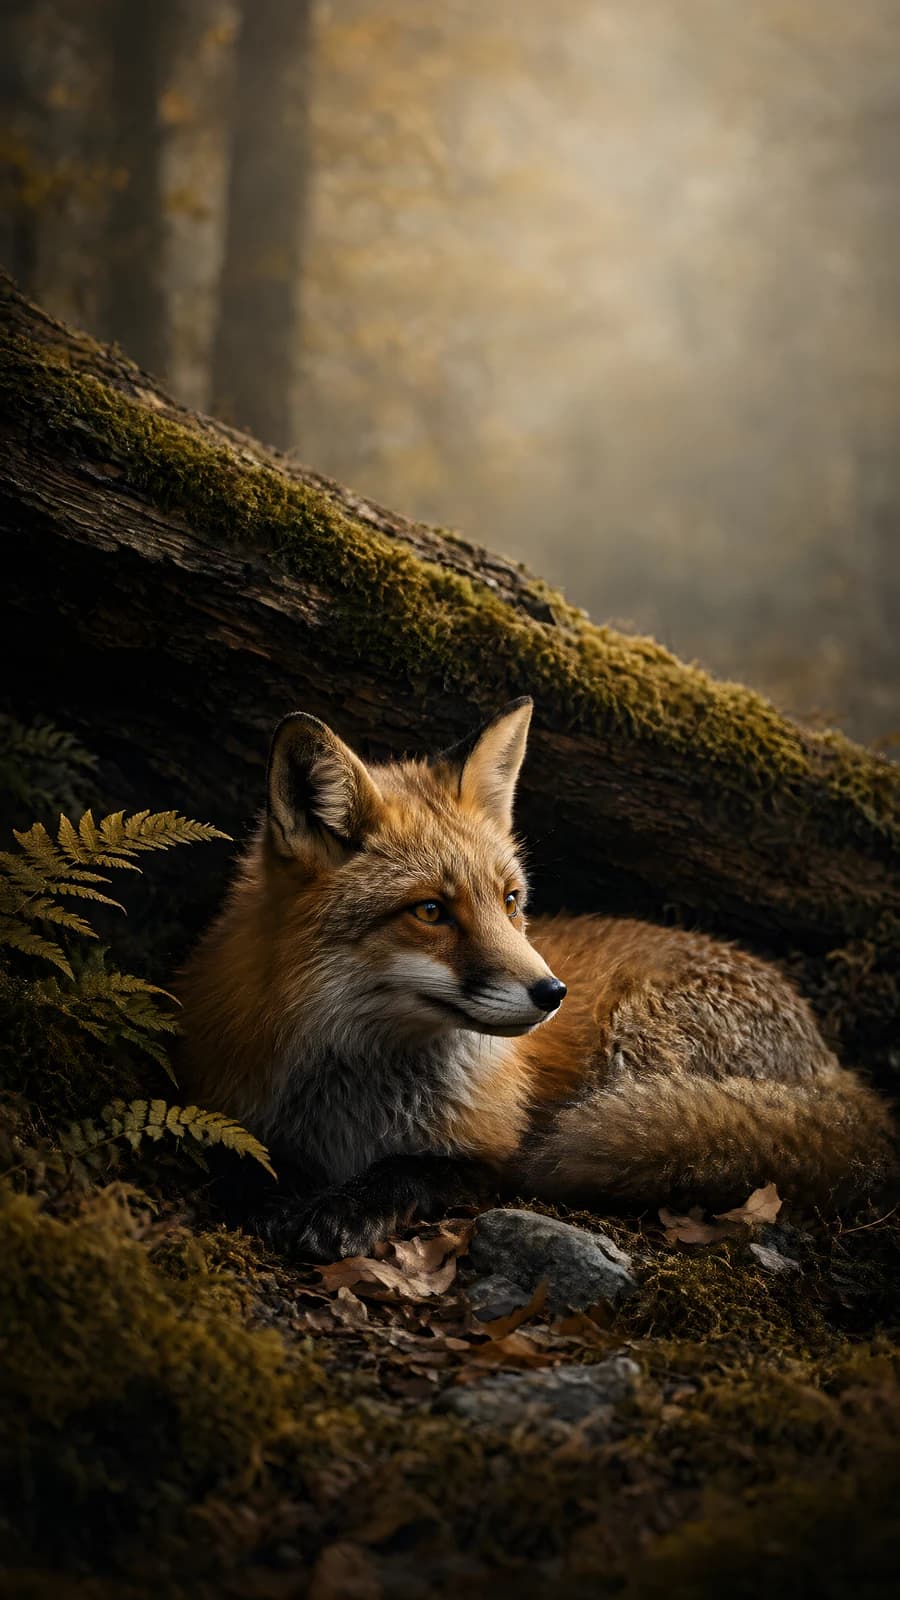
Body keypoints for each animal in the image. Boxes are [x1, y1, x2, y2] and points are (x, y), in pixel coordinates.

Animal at [177, 698, 895, 1259]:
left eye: (511, 901)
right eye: (431, 912)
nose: (553, 994)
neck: (355, 1094)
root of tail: (836, 1066)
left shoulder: (486, 1152)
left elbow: (409, 1169)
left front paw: (339, 1210)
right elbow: (237, 1157)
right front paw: (275, 1196)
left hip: (641, 1040)